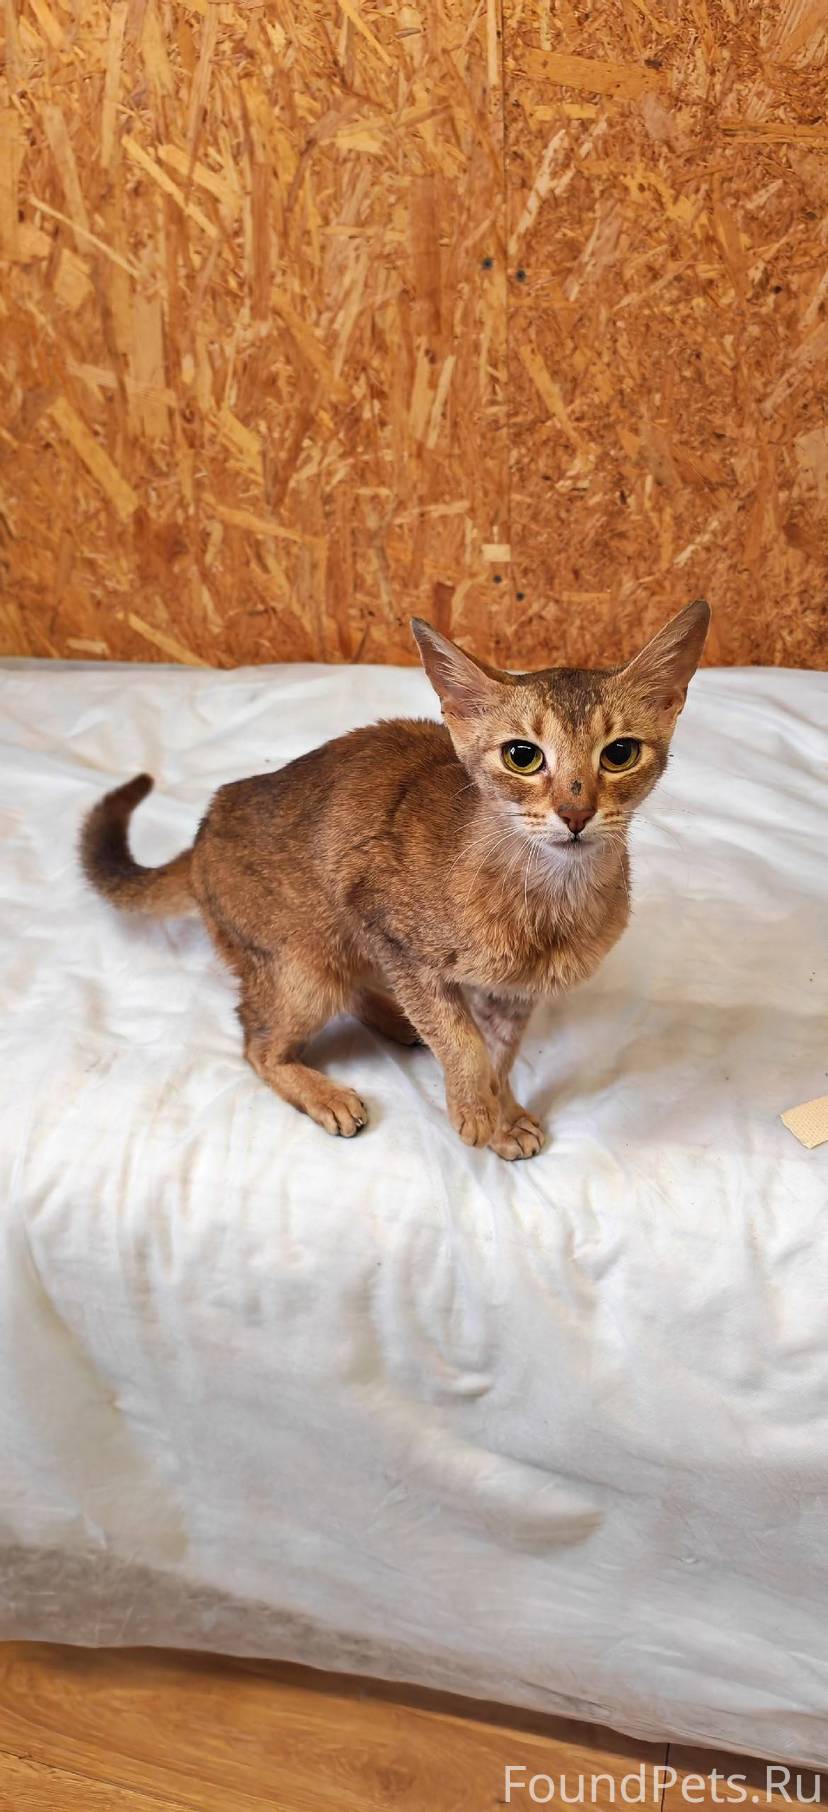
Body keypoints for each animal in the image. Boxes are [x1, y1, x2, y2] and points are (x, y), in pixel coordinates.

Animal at [81, 599, 710, 1160]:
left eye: (620, 753)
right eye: (523, 756)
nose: (575, 814)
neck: (549, 897)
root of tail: (203, 830)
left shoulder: (510, 993)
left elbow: (499, 1053)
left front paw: (502, 1113)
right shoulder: (388, 931)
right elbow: (462, 1040)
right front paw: (475, 1112)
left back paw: (398, 1022)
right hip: (303, 964)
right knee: (257, 1042)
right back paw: (327, 1092)